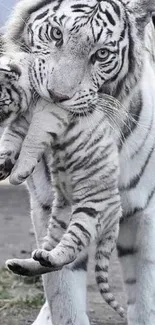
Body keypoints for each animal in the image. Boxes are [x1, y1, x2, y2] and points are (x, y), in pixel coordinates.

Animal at [0, 0, 155, 322]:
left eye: (102, 54)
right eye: (56, 34)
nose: (57, 95)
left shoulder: (144, 213)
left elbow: (145, 299)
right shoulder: (44, 204)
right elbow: (64, 299)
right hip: (63, 210)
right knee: (55, 253)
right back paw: (29, 263)